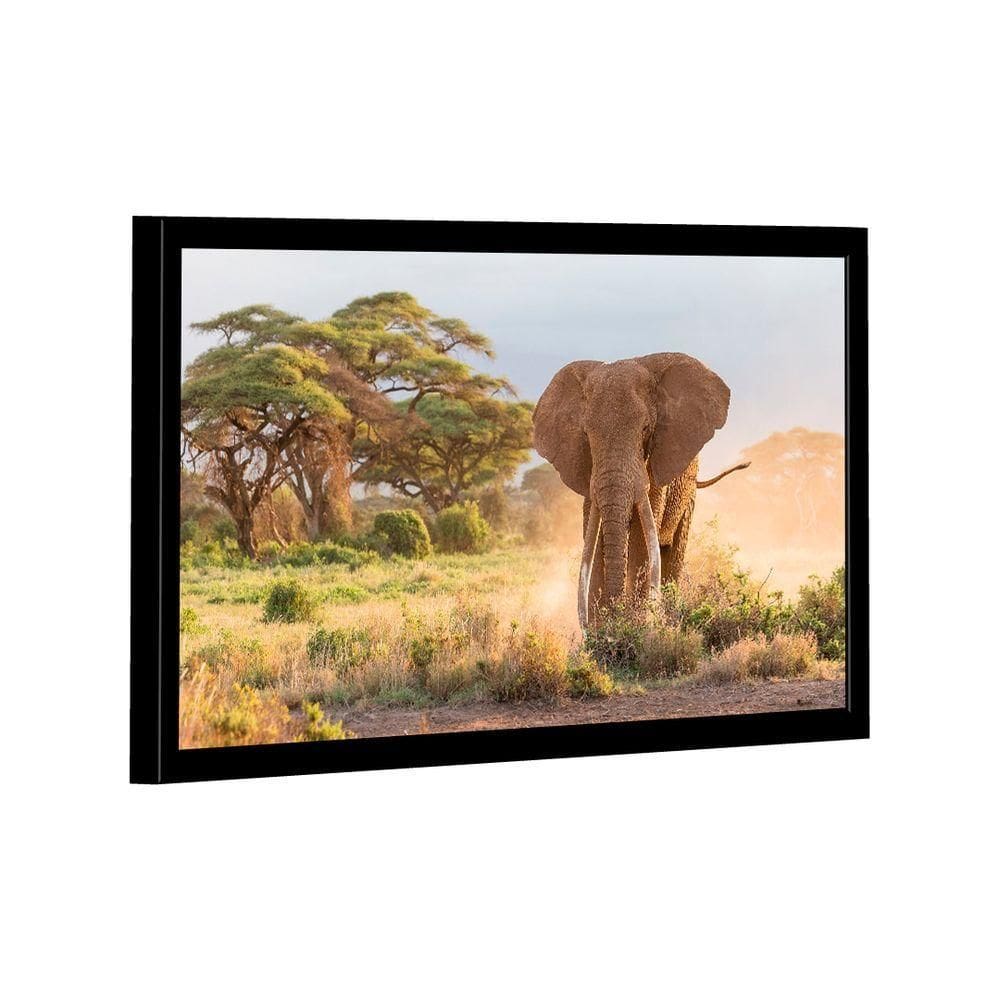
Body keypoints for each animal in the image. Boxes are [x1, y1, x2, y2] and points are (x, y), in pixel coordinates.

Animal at [532, 353, 748, 628]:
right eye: (587, 434)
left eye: (646, 429)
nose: (613, 615)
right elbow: (594, 539)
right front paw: (601, 630)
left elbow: (641, 541)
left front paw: (637, 625)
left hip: (688, 491)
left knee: (673, 552)